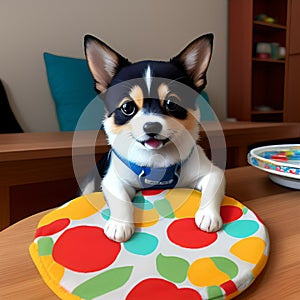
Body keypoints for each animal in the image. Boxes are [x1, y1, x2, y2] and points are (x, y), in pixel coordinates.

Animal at [79, 34, 225, 243]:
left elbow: (213, 188)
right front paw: (119, 224)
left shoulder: (213, 173)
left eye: (172, 104)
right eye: (127, 108)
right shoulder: (112, 180)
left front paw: (208, 215)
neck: (157, 159)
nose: (151, 126)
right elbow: (120, 198)